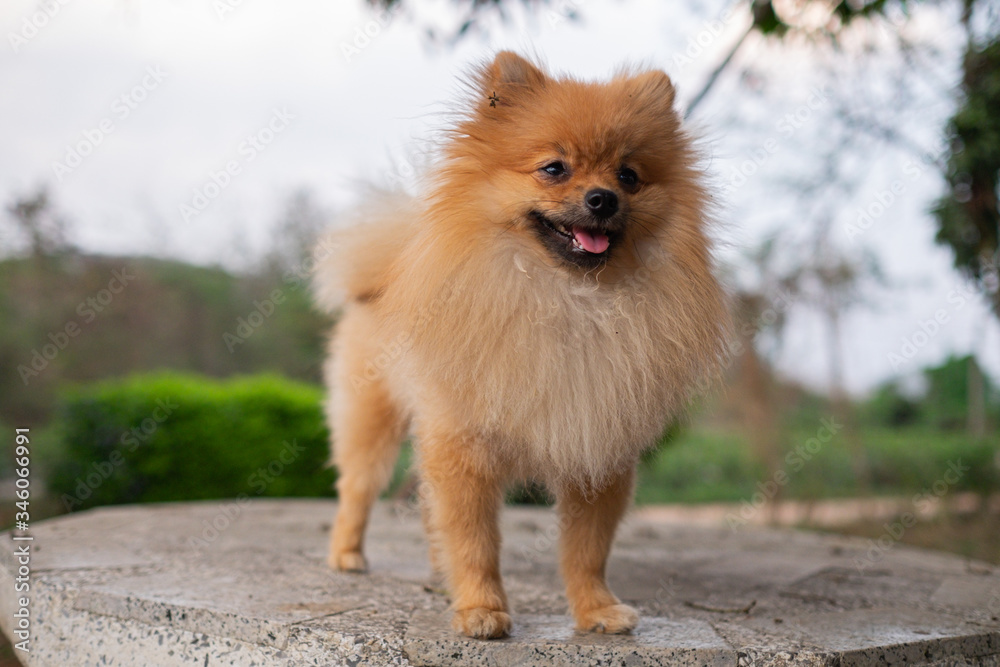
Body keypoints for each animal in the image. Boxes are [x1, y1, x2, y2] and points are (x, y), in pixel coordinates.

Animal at [312, 49, 728, 640]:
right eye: (554, 168)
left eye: (629, 176)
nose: (603, 199)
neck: (569, 300)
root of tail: (385, 273)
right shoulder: (464, 445)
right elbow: (475, 539)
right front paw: (480, 608)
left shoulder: (597, 448)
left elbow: (586, 548)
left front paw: (596, 609)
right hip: (374, 419)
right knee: (358, 488)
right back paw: (347, 554)